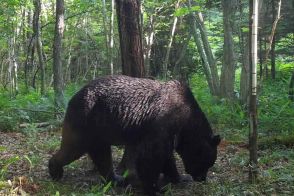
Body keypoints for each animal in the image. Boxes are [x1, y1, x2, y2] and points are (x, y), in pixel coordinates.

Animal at [49, 74, 220, 194]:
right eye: (207, 162)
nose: (201, 178)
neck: (185, 121)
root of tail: (73, 97)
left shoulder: (167, 133)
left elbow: (166, 157)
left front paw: (179, 177)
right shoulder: (162, 123)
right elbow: (152, 156)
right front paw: (155, 188)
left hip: (99, 131)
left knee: (102, 155)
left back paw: (116, 179)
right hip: (86, 120)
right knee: (73, 148)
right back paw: (55, 170)